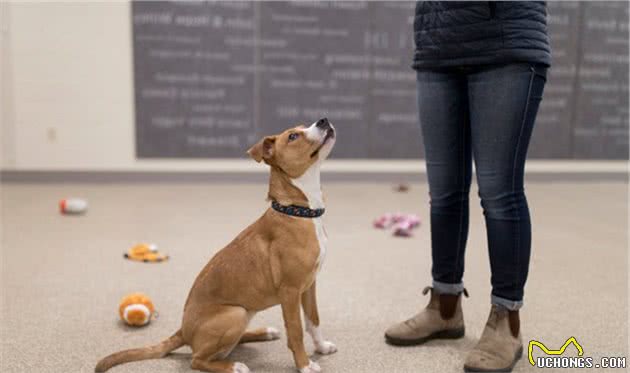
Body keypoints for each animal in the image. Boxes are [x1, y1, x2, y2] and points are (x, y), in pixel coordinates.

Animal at [94, 118, 338, 372]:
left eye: (304, 126)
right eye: (293, 136)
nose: (323, 120)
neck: (299, 211)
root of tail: (183, 331)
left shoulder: (309, 285)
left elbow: (314, 320)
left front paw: (321, 348)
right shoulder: (289, 291)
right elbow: (296, 331)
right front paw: (304, 365)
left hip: (245, 312)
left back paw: (263, 333)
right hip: (235, 313)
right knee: (197, 359)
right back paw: (234, 366)